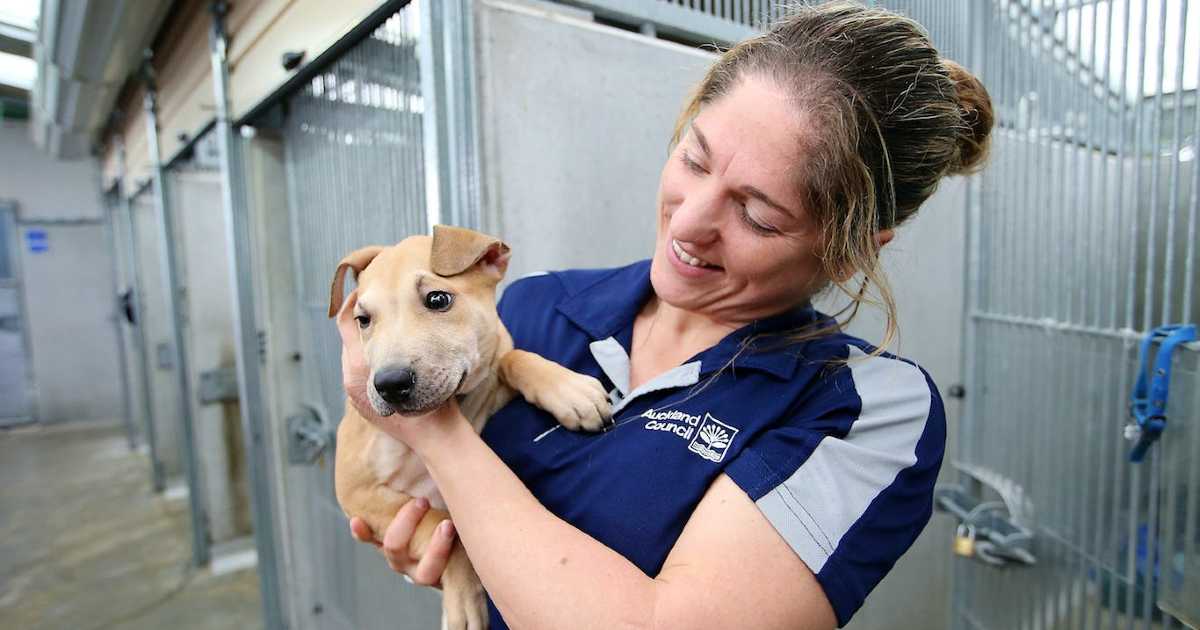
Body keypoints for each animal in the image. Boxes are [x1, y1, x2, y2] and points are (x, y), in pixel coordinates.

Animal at [328, 225, 609, 628]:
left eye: (438, 299)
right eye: (363, 320)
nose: (390, 384)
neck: (455, 404)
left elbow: (511, 357)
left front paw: (569, 389)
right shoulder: (356, 492)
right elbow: (444, 525)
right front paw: (462, 603)